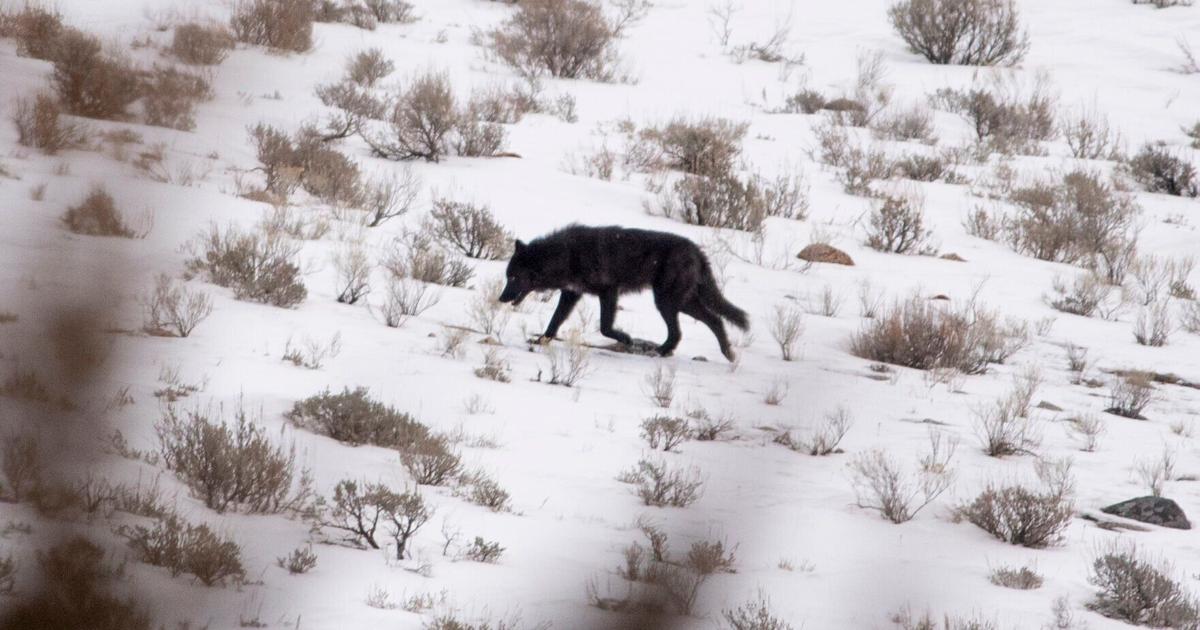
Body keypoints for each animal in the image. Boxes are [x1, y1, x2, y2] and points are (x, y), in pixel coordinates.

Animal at [497, 225, 749, 361]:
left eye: (514, 278)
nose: (501, 298)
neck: (566, 255)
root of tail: (696, 250)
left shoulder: (609, 291)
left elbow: (605, 327)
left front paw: (627, 338)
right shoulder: (571, 294)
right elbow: (555, 321)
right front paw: (542, 341)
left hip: (667, 301)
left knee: (683, 330)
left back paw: (660, 351)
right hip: (681, 302)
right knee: (713, 320)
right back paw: (726, 353)